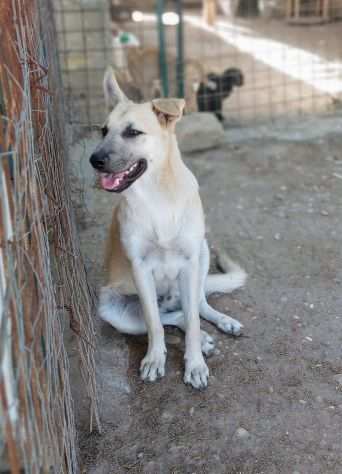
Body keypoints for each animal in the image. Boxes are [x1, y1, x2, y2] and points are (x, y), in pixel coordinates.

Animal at [89, 68, 247, 390]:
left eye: (133, 132)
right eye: (103, 131)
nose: (94, 160)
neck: (157, 197)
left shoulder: (189, 263)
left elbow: (195, 321)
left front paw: (195, 365)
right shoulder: (140, 268)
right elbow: (155, 325)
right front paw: (155, 359)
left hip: (201, 255)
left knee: (197, 306)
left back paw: (221, 324)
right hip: (112, 308)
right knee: (171, 317)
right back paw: (203, 337)